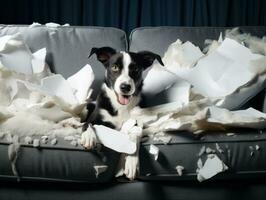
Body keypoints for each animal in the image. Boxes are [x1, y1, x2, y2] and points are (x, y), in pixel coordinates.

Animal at [81, 46, 164, 180]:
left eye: (135, 69)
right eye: (115, 67)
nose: (125, 87)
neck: (121, 106)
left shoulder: (136, 122)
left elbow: (134, 137)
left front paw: (131, 162)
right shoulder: (95, 116)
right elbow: (87, 124)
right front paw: (88, 137)